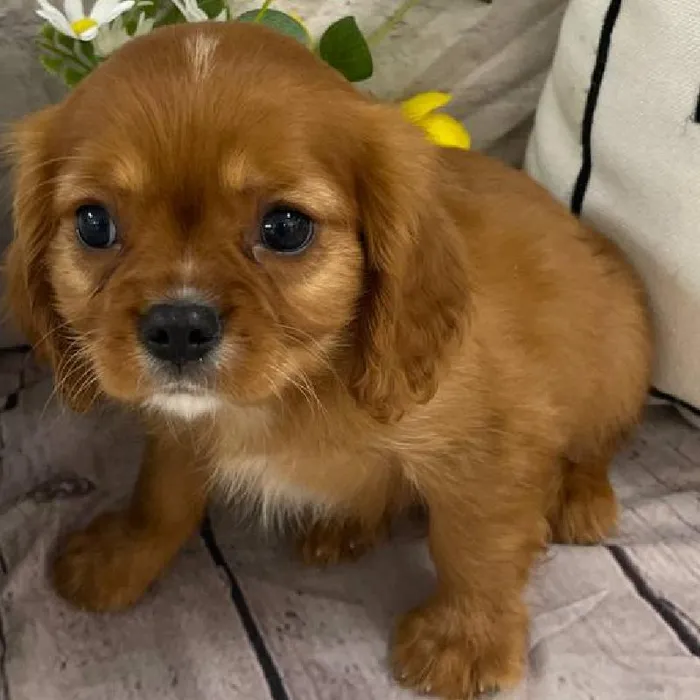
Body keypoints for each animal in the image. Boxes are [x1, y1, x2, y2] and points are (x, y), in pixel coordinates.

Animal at [4, 22, 652, 699]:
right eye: (93, 223)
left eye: (287, 227)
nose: (178, 327)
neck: (298, 385)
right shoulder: (182, 427)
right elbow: (162, 494)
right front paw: (124, 556)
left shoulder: (491, 446)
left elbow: (475, 545)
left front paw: (464, 640)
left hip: (618, 363)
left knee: (598, 442)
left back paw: (578, 497)